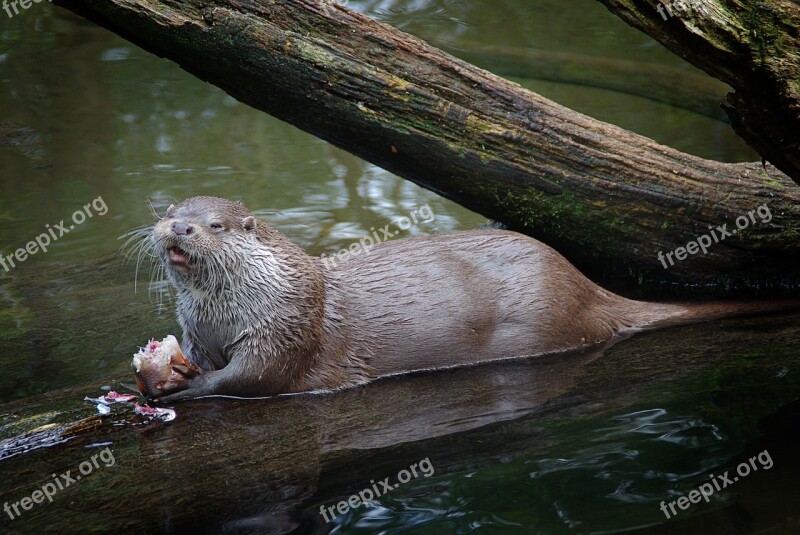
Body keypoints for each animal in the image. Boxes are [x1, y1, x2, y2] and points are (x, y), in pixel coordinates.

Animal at [139, 197, 792, 402]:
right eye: (170, 210)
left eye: (216, 225)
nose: (180, 228)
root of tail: (585, 286)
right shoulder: (200, 332)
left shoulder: (285, 326)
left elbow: (253, 378)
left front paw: (186, 386)